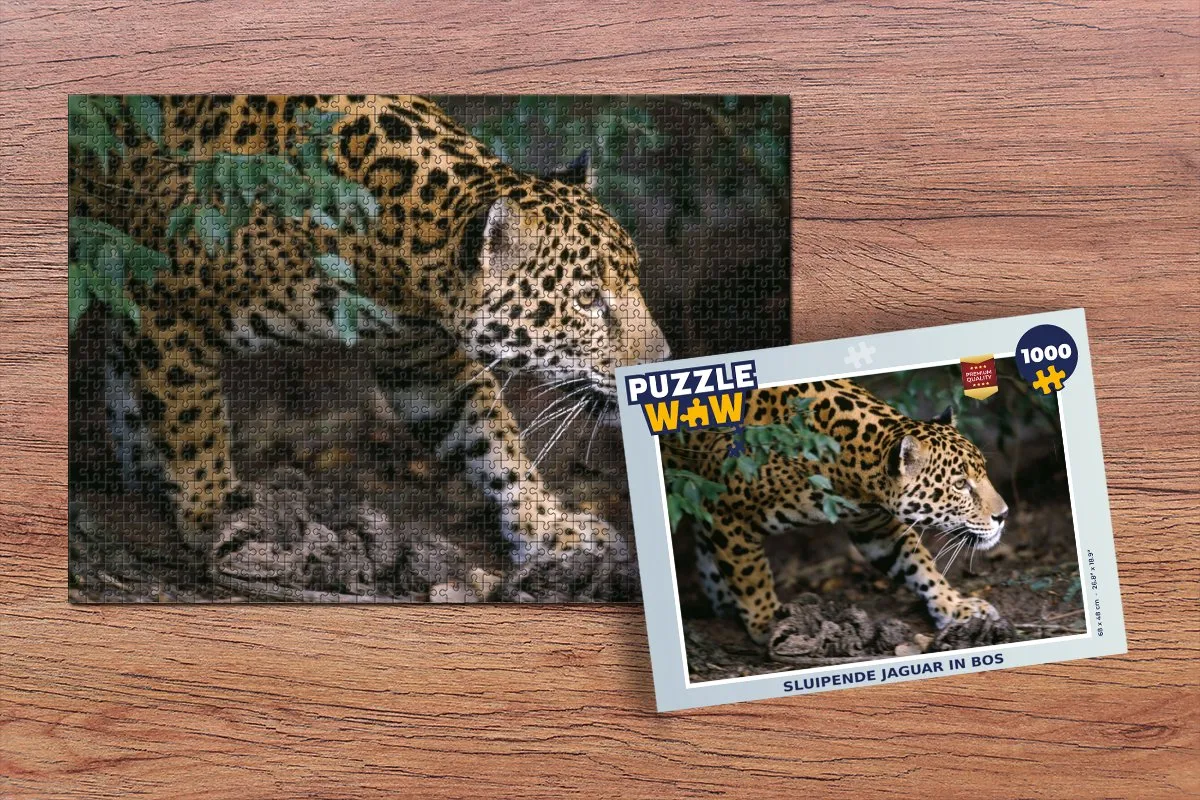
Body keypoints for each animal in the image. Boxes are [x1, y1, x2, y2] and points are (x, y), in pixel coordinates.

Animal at [68, 95, 670, 590]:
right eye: (588, 300)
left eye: (635, 278)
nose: (662, 362)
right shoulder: (161, 300)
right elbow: (193, 425)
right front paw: (215, 515)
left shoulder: (424, 361)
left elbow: (494, 441)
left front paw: (550, 528)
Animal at [661, 379, 1009, 643]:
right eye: (961, 485)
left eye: (982, 473)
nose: (1004, 515)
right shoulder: (726, 510)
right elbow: (751, 575)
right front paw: (767, 622)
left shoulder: (875, 527)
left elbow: (918, 564)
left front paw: (955, 606)